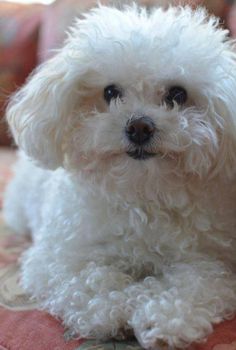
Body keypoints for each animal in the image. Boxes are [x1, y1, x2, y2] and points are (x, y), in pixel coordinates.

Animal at [3, 3, 236, 350]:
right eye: (110, 92)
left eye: (177, 94)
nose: (139, 126)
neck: (141, 194)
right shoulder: (60, 258)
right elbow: (88, 284)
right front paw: (113, 311)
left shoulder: (207, 261)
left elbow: (194, 287)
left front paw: (163, 319)